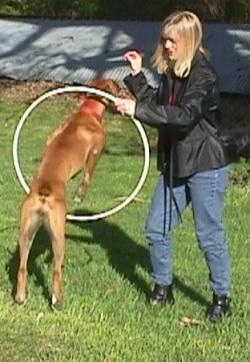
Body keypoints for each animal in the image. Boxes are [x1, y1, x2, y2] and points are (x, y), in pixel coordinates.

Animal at [14, 78, 123, 306]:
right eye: (116, 85)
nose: (124, 89)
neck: (88, 112)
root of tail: (44, 191)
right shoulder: (96, 152)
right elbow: (87, 177)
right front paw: (80, 194)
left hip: (26, 232)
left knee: (22, 267)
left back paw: (20, 296)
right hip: (58, 236)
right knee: (56, 270)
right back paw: (58, 300)